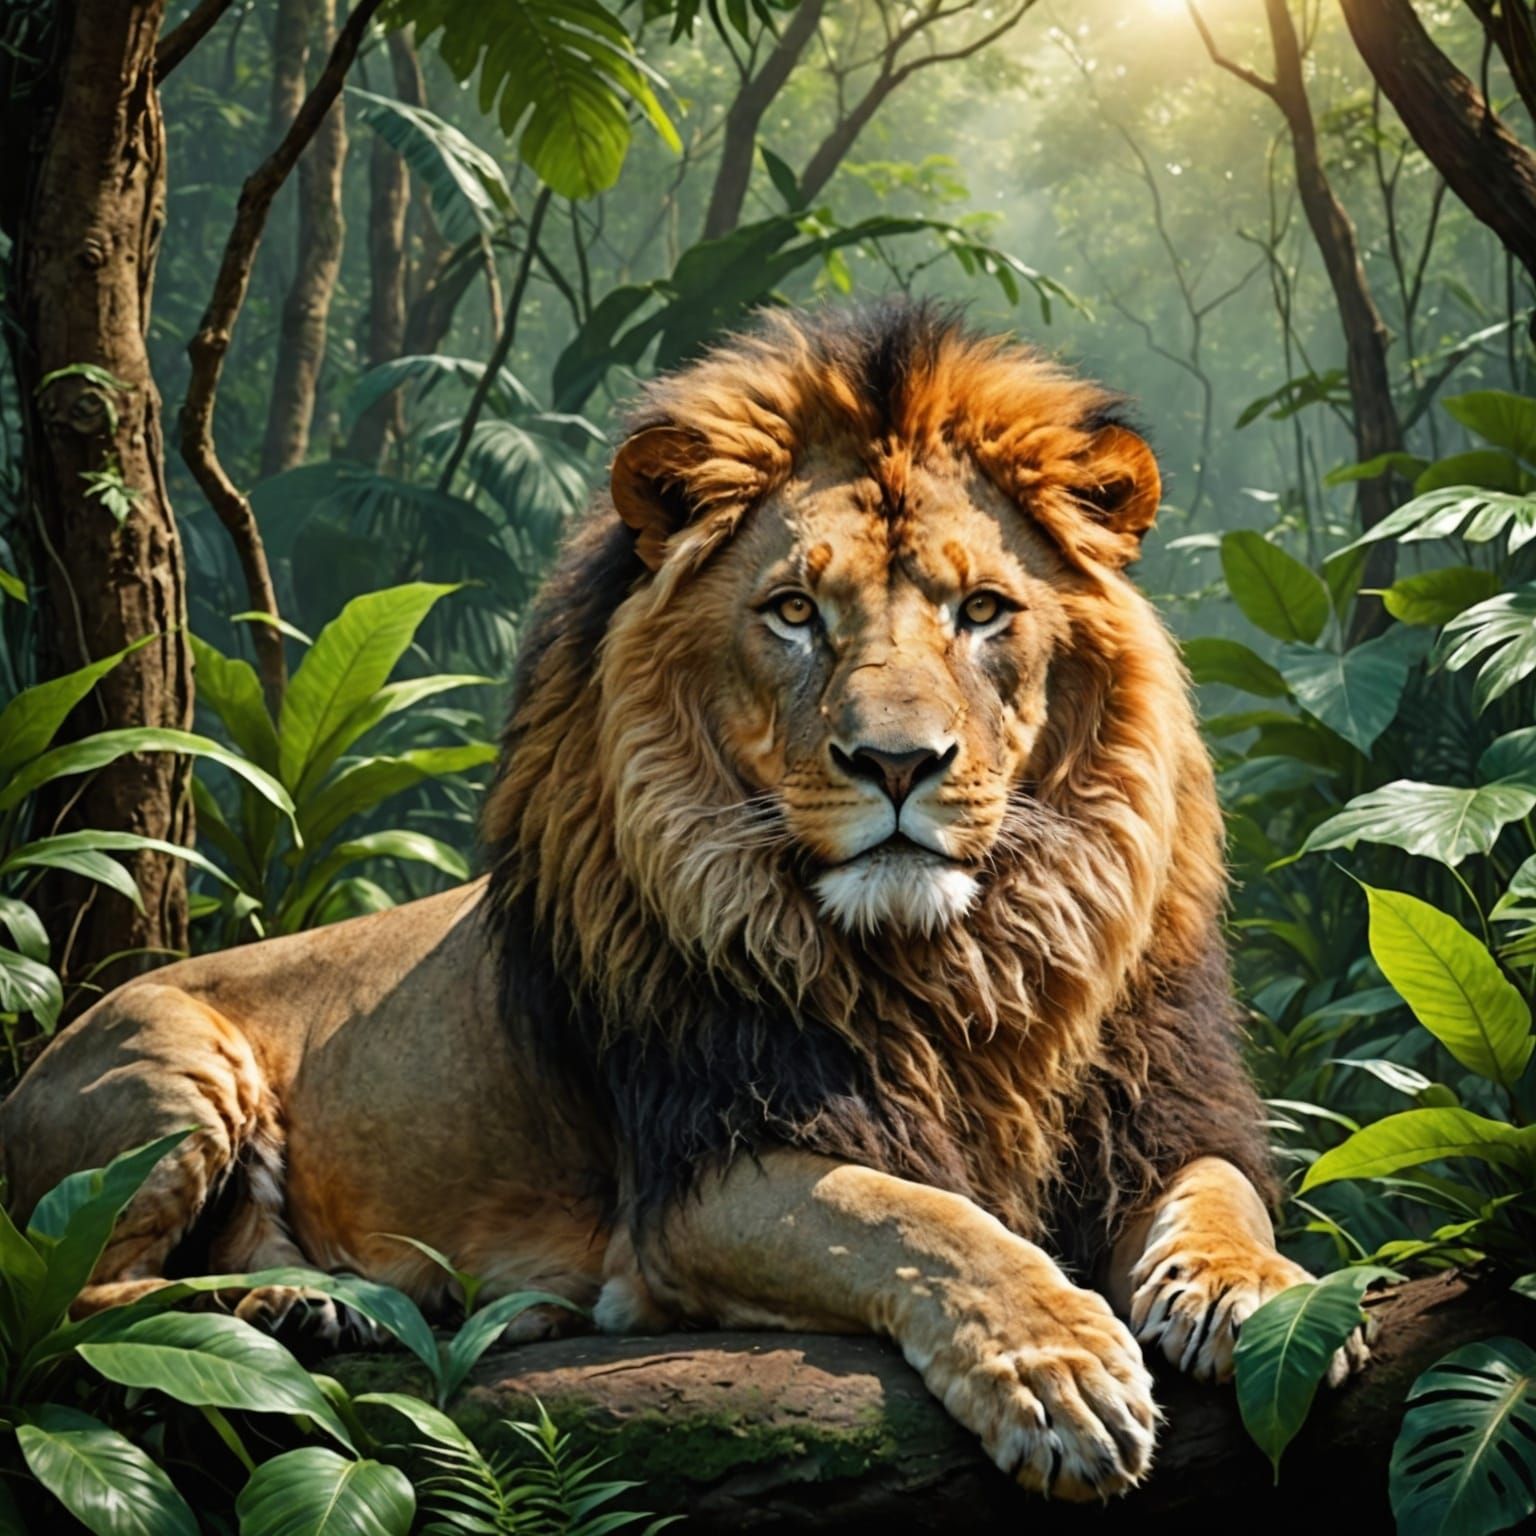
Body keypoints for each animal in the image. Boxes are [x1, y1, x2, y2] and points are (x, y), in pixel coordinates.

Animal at [1, 303, 1365, 1501]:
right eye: (795, 612)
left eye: (984, 612)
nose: (898, 764)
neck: (956, 962)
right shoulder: (704, 1170)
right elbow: (917, 1219)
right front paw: (1058, 1368)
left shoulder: (1156, 1104)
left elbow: (1223, 1190)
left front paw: (1264, 1292)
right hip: (171, 1054)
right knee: (78, 1301)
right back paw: (291, 1308)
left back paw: (326, 1302)